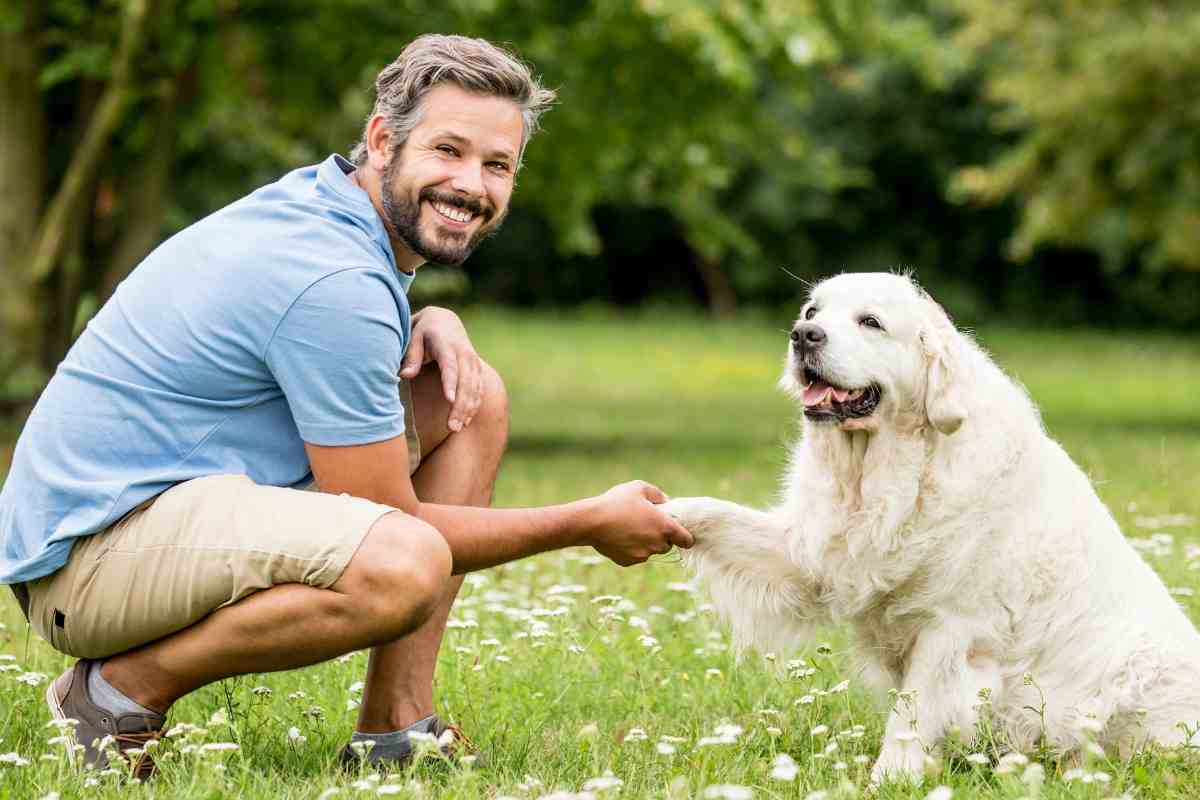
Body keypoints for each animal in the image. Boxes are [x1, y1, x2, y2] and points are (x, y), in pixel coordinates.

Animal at [667, 273, 1200, 782]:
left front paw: (890, 777)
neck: (888, 472)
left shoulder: (950, 626)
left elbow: (913, 712)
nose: (803, 335)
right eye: (812, 312)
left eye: (870, 322)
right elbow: (716, 515)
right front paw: (665, 512)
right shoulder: (812, 555)